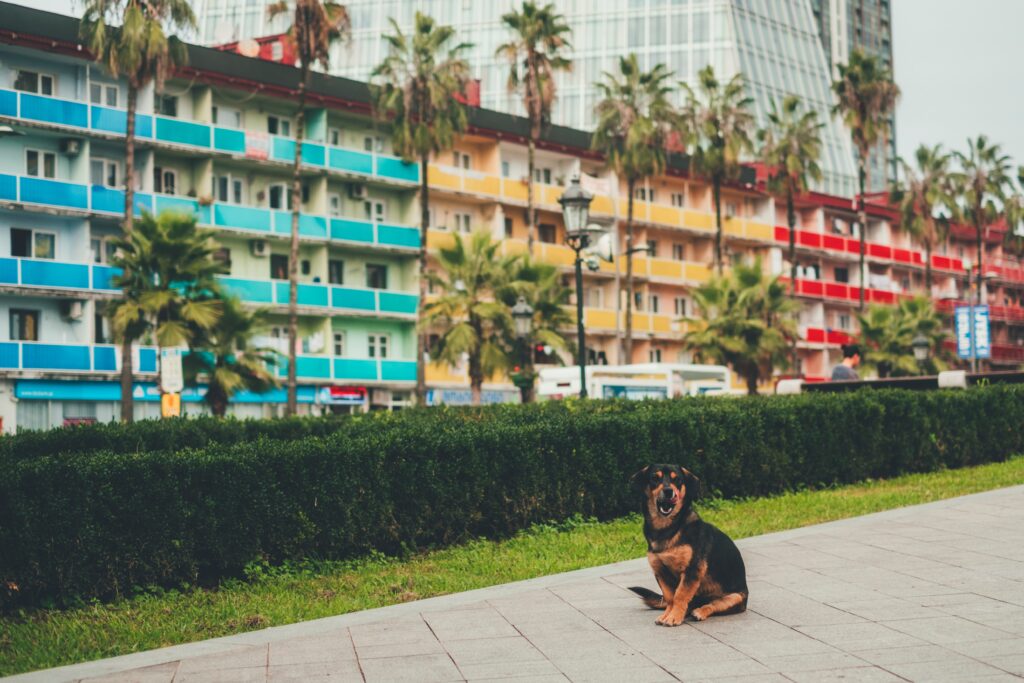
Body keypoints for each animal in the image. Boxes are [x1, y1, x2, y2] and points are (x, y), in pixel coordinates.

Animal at [626, 464, 749, 626]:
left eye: (677, 479)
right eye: (654, 478)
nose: (668, 491)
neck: (667, 529)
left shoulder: (692, 570)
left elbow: (680, 595)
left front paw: (674, 617)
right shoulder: (660, 572)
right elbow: (670, 598)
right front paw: (668, 614)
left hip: (735, 597)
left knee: (712, 605)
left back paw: (699, 612)